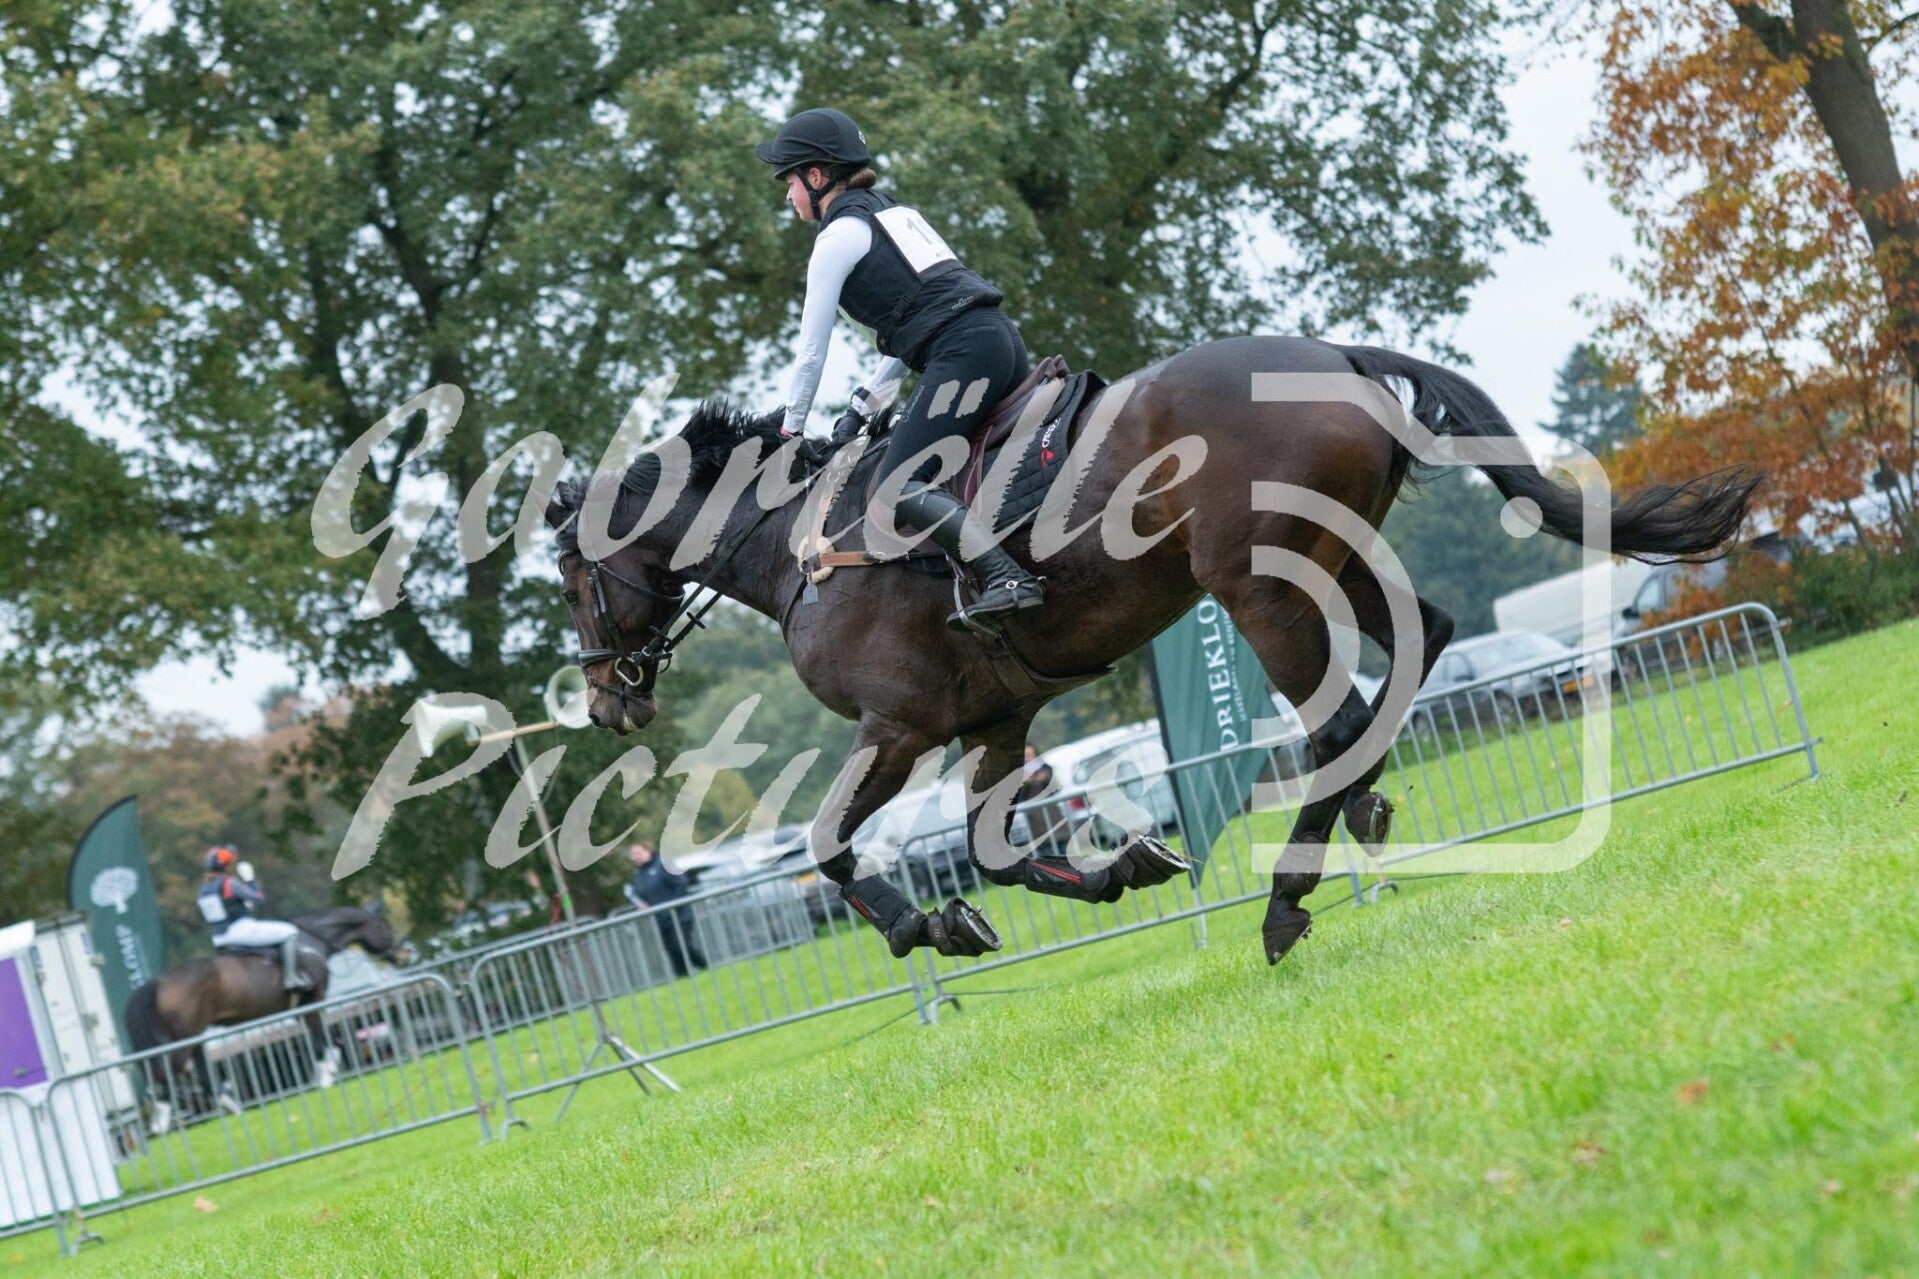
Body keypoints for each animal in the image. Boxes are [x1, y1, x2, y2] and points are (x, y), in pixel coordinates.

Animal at [125, 906, 401, 1133]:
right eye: (385, 925)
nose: (402, 955)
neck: (310, 942)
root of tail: (158, 981)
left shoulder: (304, 1008)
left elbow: (322, 1040)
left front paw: (326, 1071)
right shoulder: (314, 999)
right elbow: (321, 1039)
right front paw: (327, 1077)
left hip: (193, 1038)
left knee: (197, 1076)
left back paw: (232, 1109)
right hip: (184, 1040)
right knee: (165, 1075)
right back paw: (160, 1124)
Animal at [544, 336, 1758, 965]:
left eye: (568, 574)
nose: (608, 703)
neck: (801, 546)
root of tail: (1328, 354)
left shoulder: (898, 729)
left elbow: (829, 844)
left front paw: (923, 928)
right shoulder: (998, 724)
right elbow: (987, 850)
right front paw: (1117, 866)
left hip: (1259, 586)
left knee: (1334, 720)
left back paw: (1285, 898)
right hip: (1338, 558)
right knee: (1420, 653)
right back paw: (1360, 814)